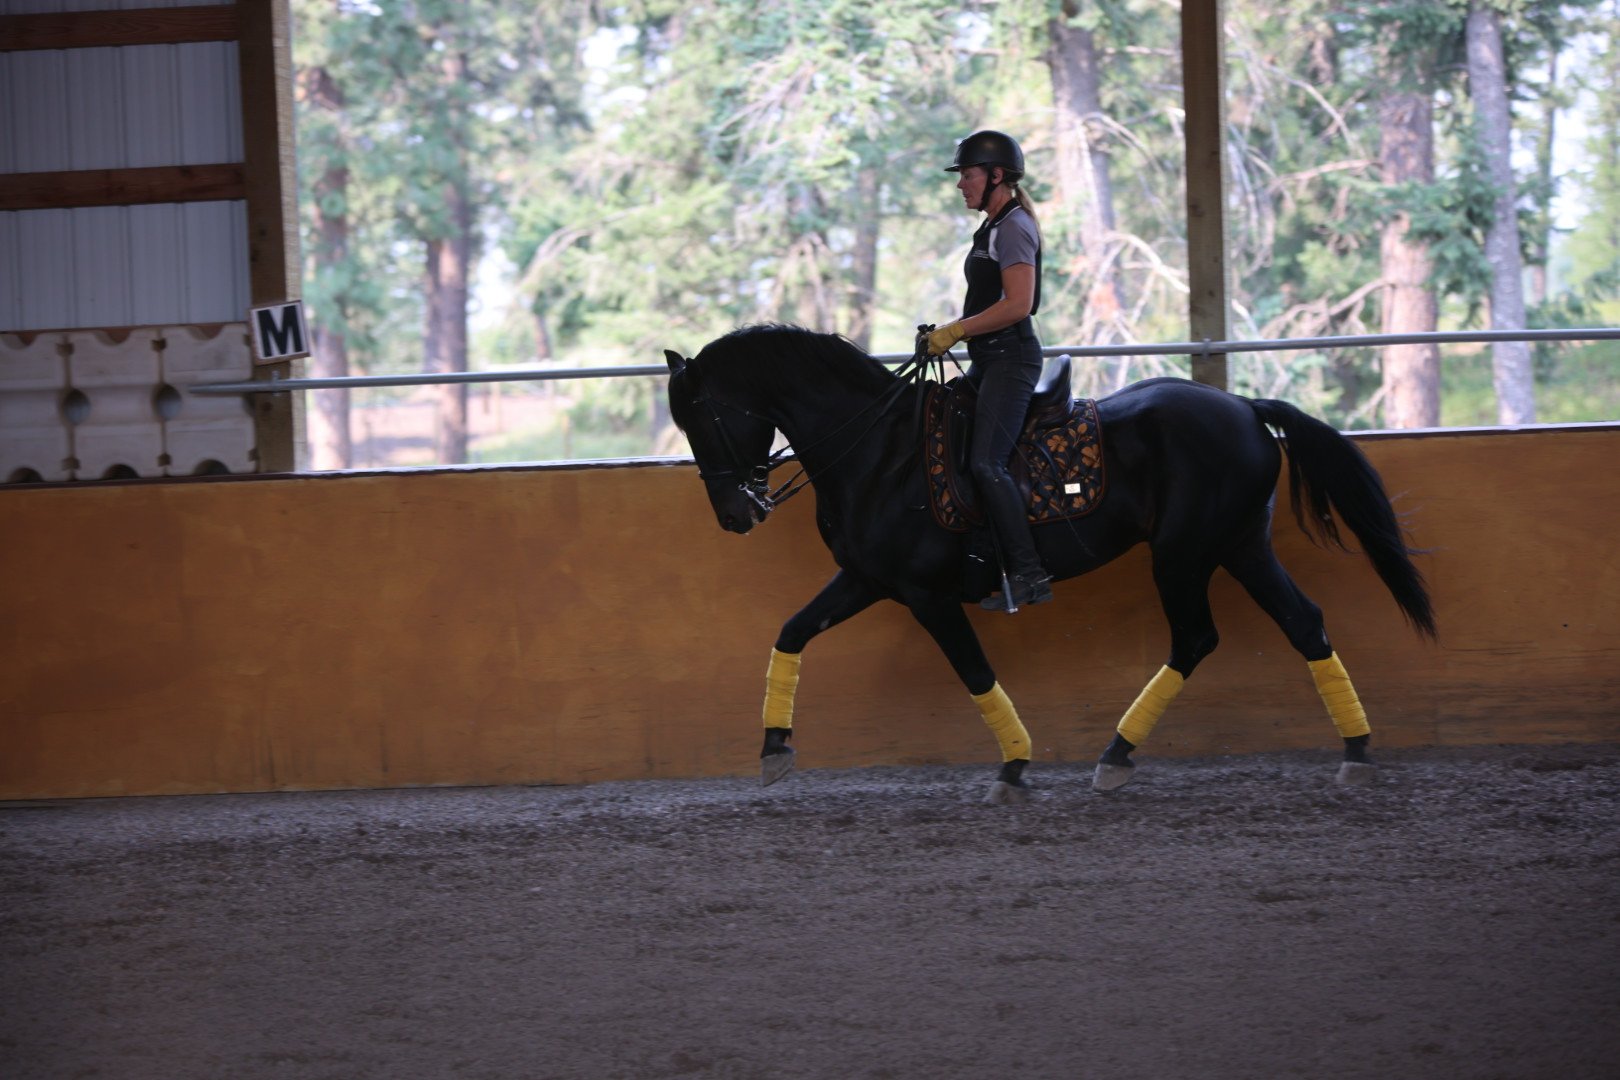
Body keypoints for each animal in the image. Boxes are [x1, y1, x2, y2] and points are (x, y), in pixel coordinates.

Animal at [664, 324, 1435, 803]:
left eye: (702, 417)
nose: (734, 514)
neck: (881, 451)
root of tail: (1243, 406)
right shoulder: (867, 579)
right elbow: (792, 632)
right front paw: (773, 750)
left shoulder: (926, 595)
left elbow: (974, 672)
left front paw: (1013, 765)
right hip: (1240, 545)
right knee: (1303, 624)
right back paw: (1355, 752)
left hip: (1184, 553)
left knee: (1197, 637)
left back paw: (1116, 757)